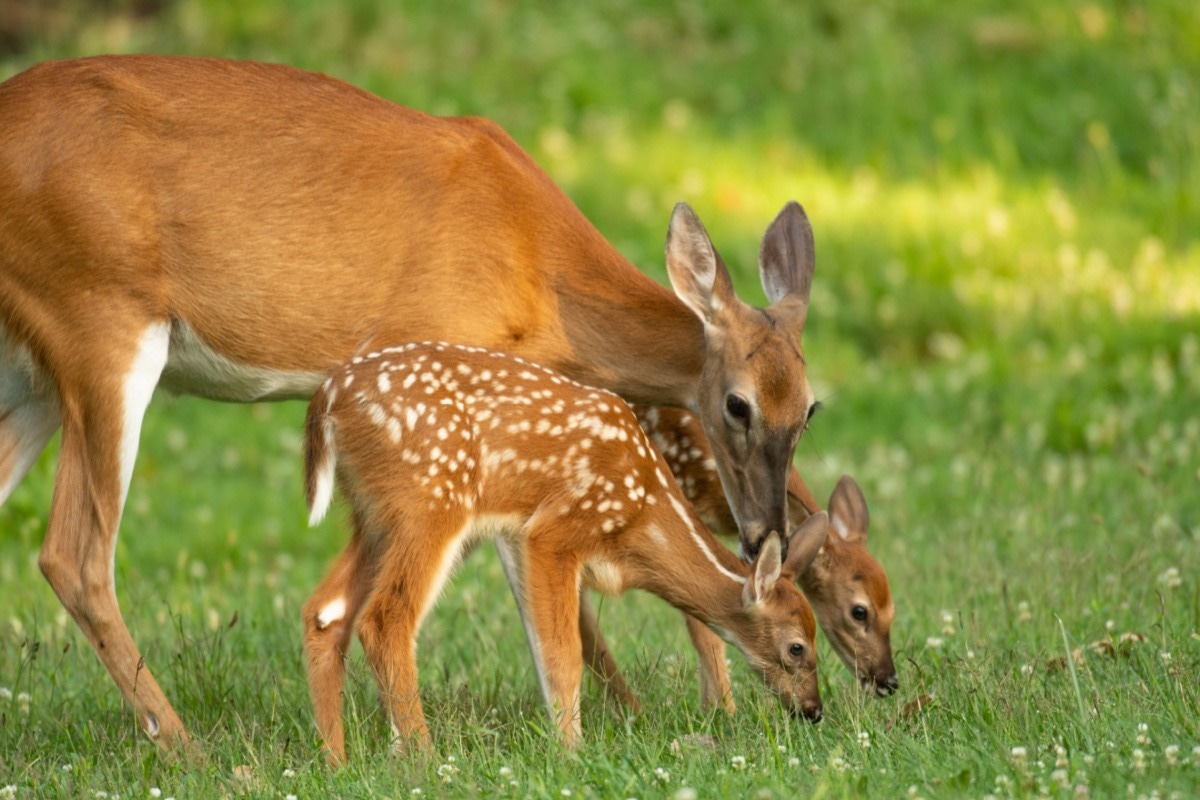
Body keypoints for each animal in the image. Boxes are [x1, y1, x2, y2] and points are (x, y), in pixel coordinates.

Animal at [301, 342, 828, 763]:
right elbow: (563, 652)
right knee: (385, 616)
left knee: (325, 612)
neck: (643, 515)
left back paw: (336, 761)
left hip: (373, 516)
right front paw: (571, 750)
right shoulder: (553, 531)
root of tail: (327, 400)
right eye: (796, 647)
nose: (814, 709)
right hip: (430, 500)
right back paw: (423, 760)